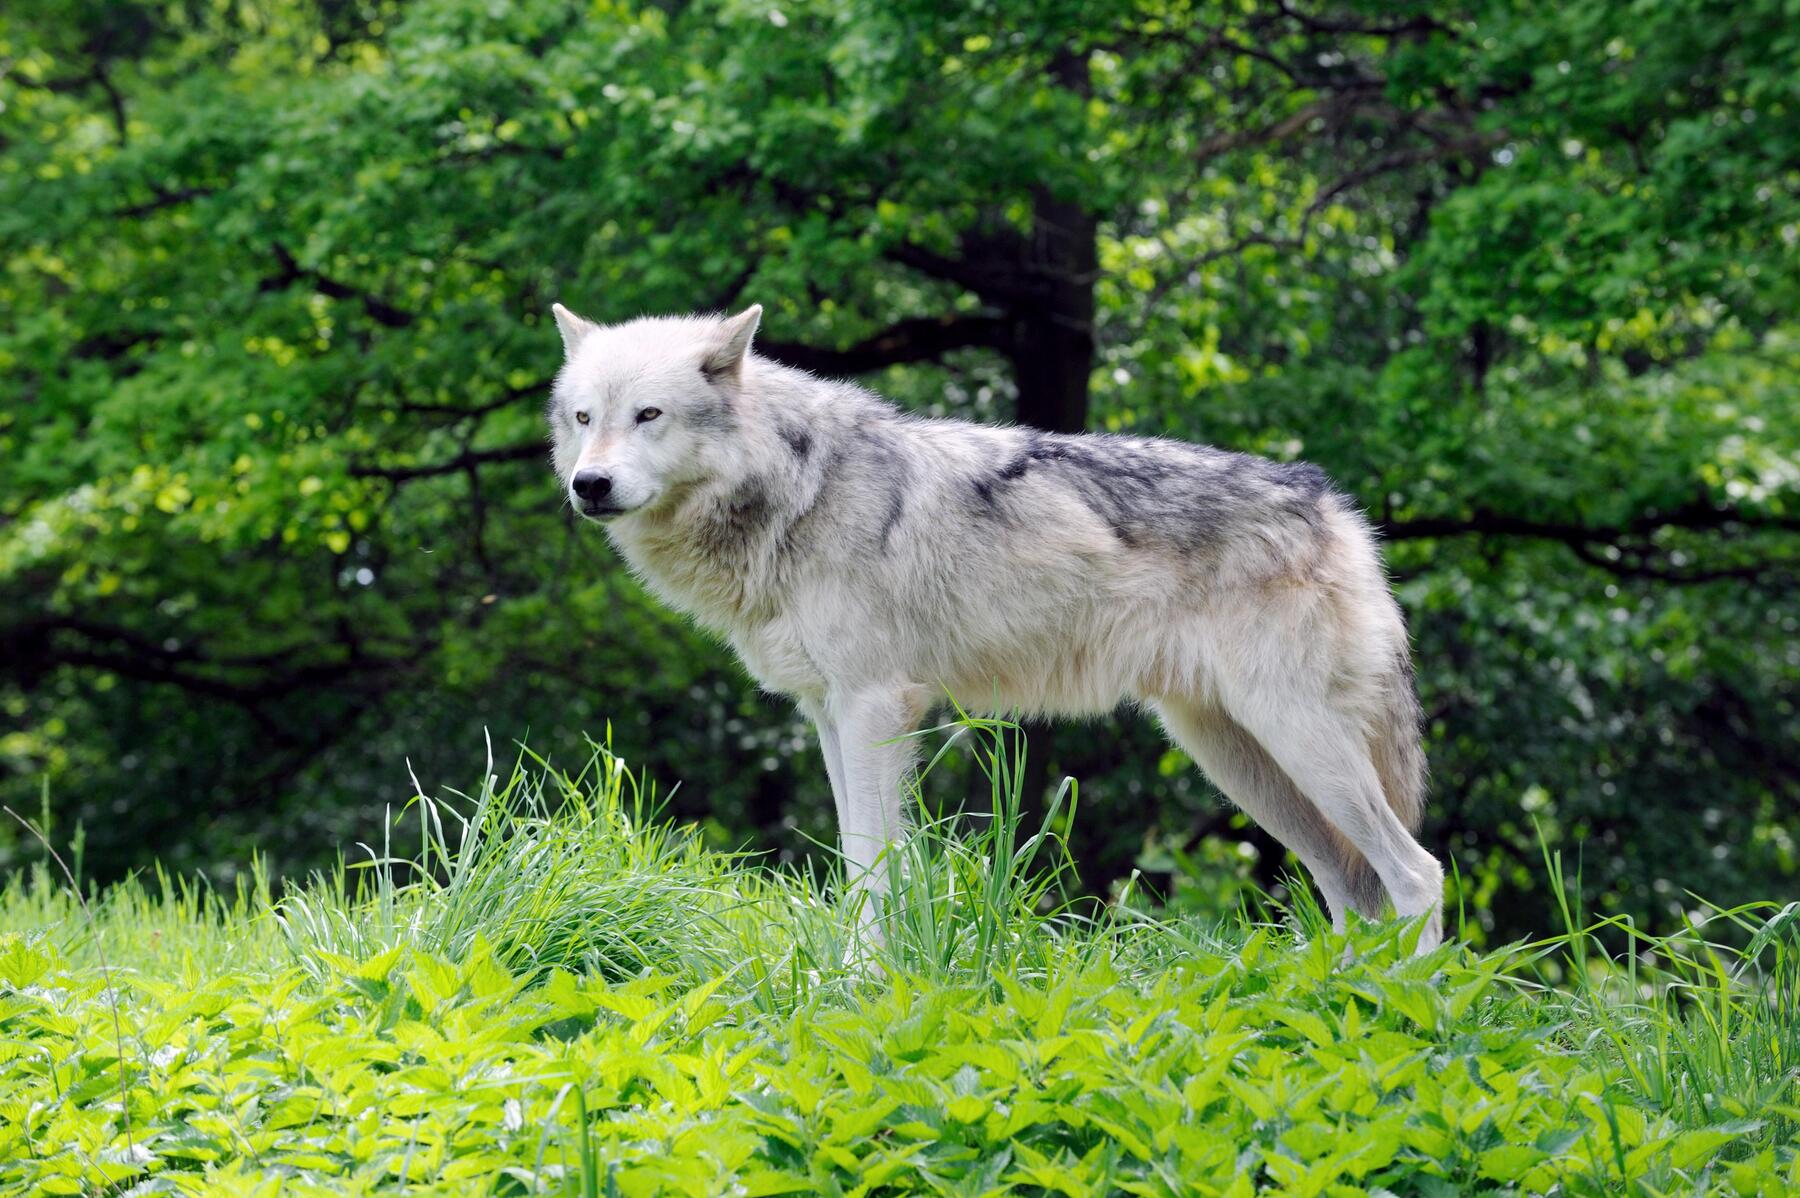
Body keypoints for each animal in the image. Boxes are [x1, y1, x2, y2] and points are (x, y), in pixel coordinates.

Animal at [545, 303, 1445, 952]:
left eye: (650, 414)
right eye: (585, 418)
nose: (589, 486)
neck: (799, 488)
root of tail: (1337, 508)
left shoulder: (878, 707)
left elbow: (875, 867)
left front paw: (863, 980)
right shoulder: (829, 714)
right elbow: (854, 857)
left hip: (1295, 743)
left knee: (1417, 874)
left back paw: (1417, 1014)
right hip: (1239, 759)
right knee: (1351, 889)